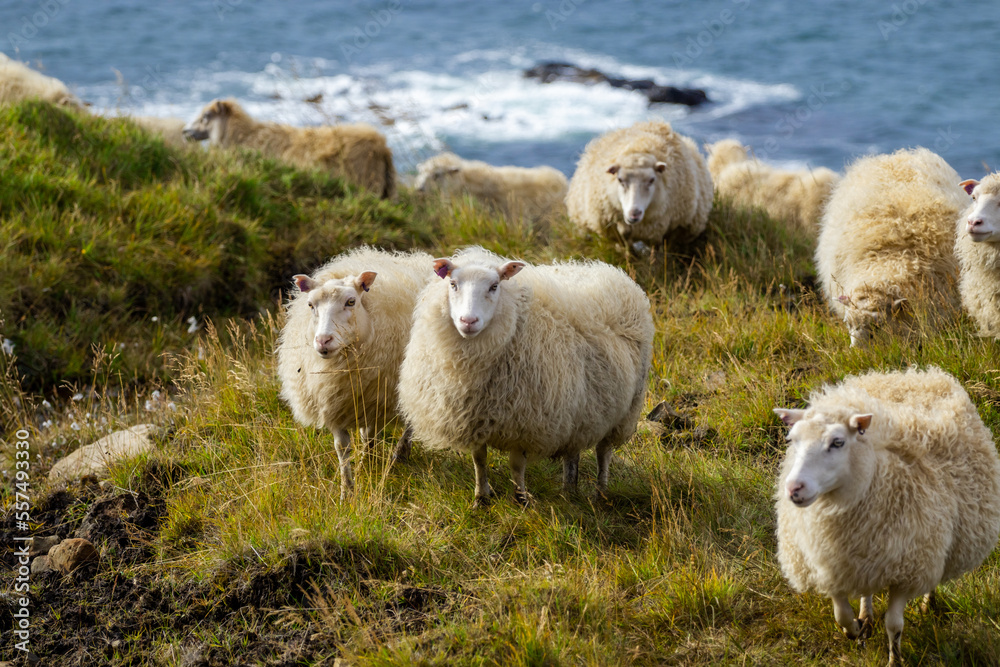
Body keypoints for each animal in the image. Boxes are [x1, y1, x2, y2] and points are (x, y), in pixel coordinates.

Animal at [276, 247, 434, 499]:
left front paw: (365, 465)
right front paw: (347, 490)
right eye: (310, 305)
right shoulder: (334, 401)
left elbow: (370, 436)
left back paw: (400, 453)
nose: (323, 341)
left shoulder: (376, 399)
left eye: (351, 301)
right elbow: (342, 447)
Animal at [397, 246, 654, 506]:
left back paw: (600, 493)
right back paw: (569, 490)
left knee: (604, 452)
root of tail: (605, 269)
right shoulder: (474, 417)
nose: (468, 321)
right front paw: (481, 498)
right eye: (452, 284)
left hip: (624, 411)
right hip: (579, 407)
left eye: (494, 286)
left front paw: (520, 499)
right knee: (573, 452)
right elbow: (479, 459)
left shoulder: (524, 420)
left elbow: (516, 465)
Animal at [774, 366, 1000, 667]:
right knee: (866, 590)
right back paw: (866, 616)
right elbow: (840, 615)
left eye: (837, 442)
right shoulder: (830, 564)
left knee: (935, 574)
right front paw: (854, 630)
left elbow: (894, 624)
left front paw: (895, 659)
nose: (794, 488)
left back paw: (927, 603)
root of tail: (909, 375)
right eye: (793, 441)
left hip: (935, 544)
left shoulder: (908, 570)